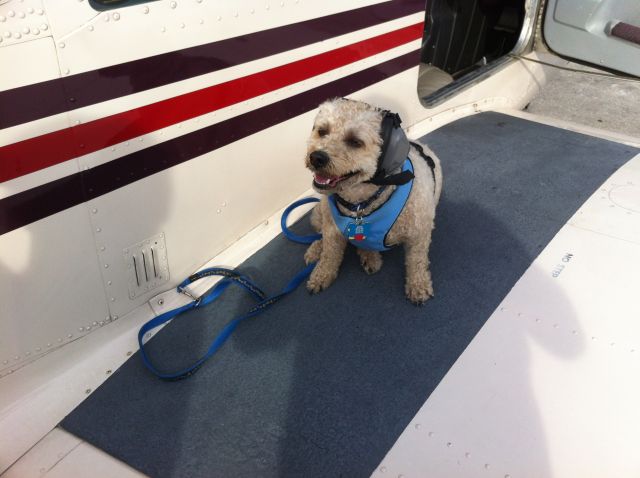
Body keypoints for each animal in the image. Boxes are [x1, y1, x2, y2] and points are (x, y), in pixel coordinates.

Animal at [302, 99, 442, 304]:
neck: (360, 204)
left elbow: (417, 261)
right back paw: (317, 250)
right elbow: (329, 254)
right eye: (322, 131)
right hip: (321, 213)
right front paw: (321, 274)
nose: (316, 157)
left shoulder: (419, 234)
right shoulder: (332, 230)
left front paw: (418, 285)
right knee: (322, 236)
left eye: (355, 142)